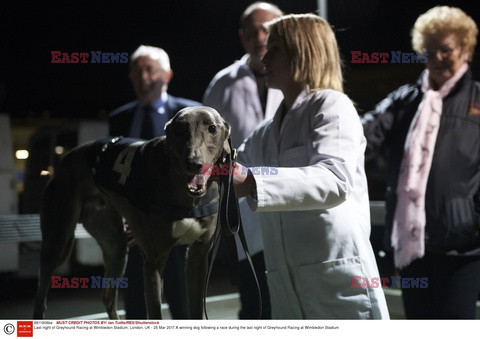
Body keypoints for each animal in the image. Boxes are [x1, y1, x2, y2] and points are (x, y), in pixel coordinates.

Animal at [33, 107, 232, 322]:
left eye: (212, 128)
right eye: (179, 129)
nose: (194, 164)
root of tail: (64, 161)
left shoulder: (199, 255)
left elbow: (195, 310)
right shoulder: (154, 260)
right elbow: (155, 312)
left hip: (115, 246)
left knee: (108, 295)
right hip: (57, 240)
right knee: (41, 295)